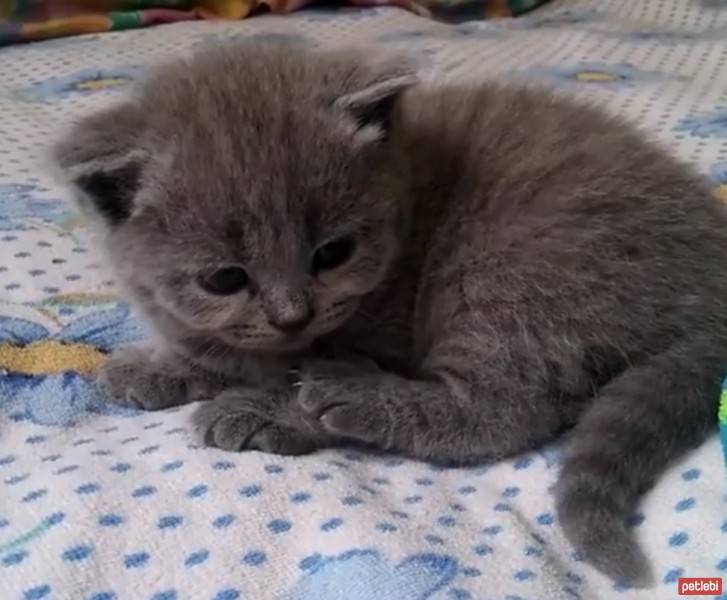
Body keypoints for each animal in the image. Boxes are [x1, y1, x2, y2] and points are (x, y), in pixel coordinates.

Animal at [52, 41, 727, 584]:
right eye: (224, 278)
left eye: (334, 253)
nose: (293, 314)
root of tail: (711, 286)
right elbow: (218, 352)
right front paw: (153, 369)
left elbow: (291, 386)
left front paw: (262, 407)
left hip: (507, 268)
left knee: (509, 410)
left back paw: (346, 397)